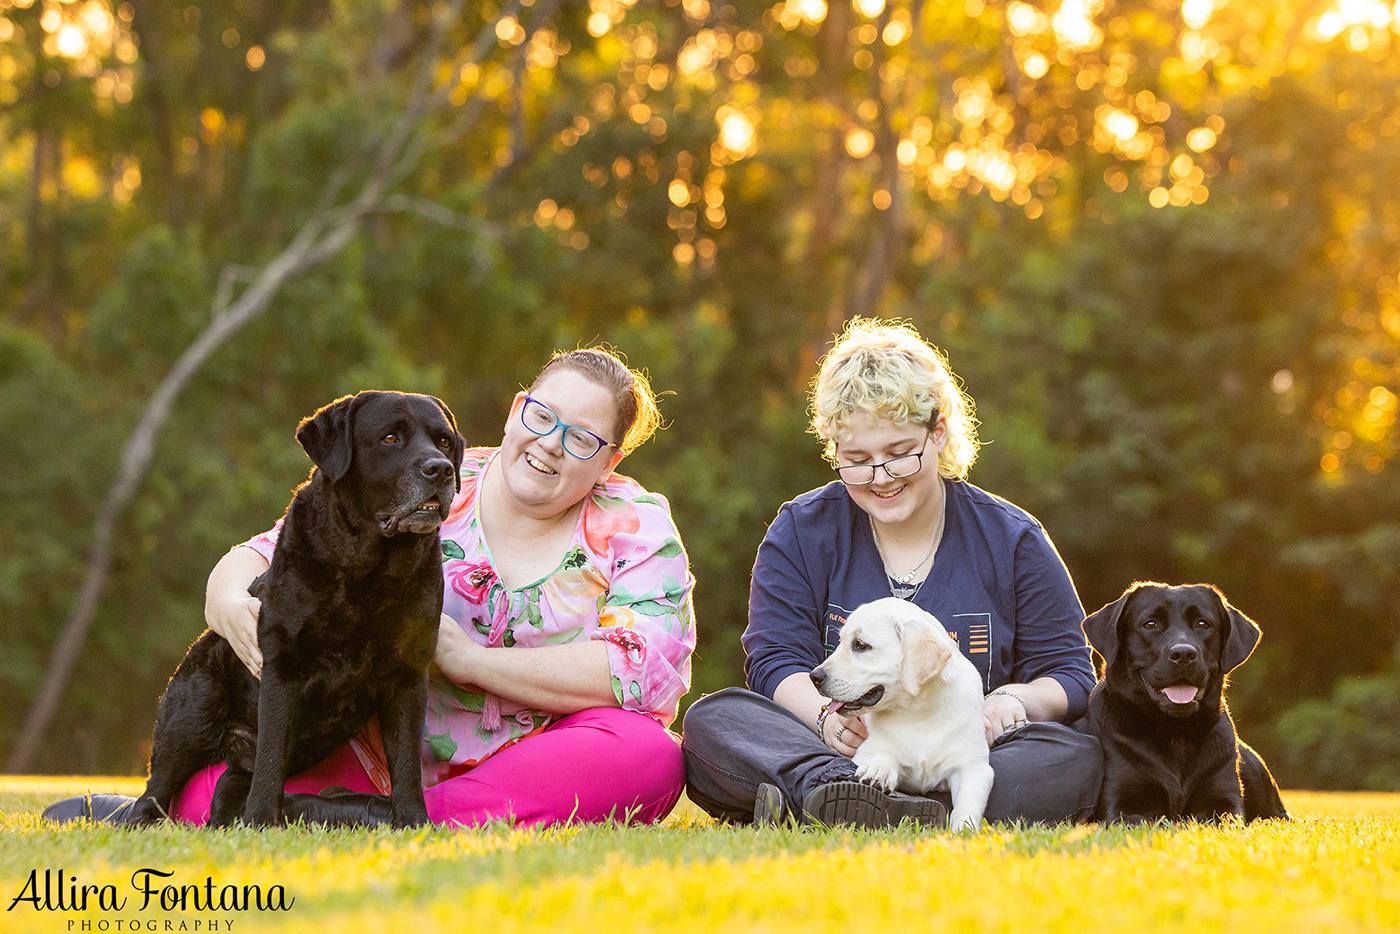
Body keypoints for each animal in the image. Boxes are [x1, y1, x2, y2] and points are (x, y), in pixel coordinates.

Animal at [812, 599, 996, 834]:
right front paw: (877, 770)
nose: (814, 676)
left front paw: (962, 832)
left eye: (860, 645)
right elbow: (884, 753)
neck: (917, 712)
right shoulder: (865, 751)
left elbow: (967, 804)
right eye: (841, 642)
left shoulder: (973, 768)